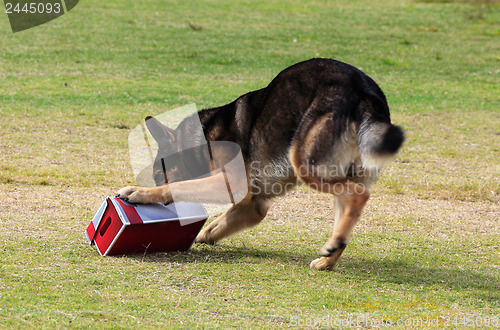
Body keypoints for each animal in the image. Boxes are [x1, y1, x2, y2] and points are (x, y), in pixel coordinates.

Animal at [115, 58, 404, 270]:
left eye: (158, 172)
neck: (202, 137)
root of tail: (365, 94)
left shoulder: (230, 184)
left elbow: (180, 188)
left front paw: (139, 192)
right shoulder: (253, 206)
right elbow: (215, 226)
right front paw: (198, 236)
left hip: (306, 165)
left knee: (359, 195)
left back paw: (333, 247)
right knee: (349, 208)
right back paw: (329, 256)